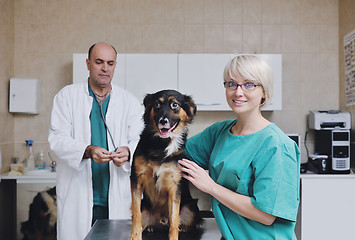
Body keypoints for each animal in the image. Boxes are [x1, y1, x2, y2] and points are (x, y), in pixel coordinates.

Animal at [130, 90, 203, 240]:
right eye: (157, 104)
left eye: (174, 105)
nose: (163, 121)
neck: (161, 144)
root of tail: (161, 220)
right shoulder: (136, 179)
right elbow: (136, 215)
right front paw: (135, 236)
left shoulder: (174, 184)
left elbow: (174, 219)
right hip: (145, 208)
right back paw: (151, 226)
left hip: (191, 207)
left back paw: (183, 227)